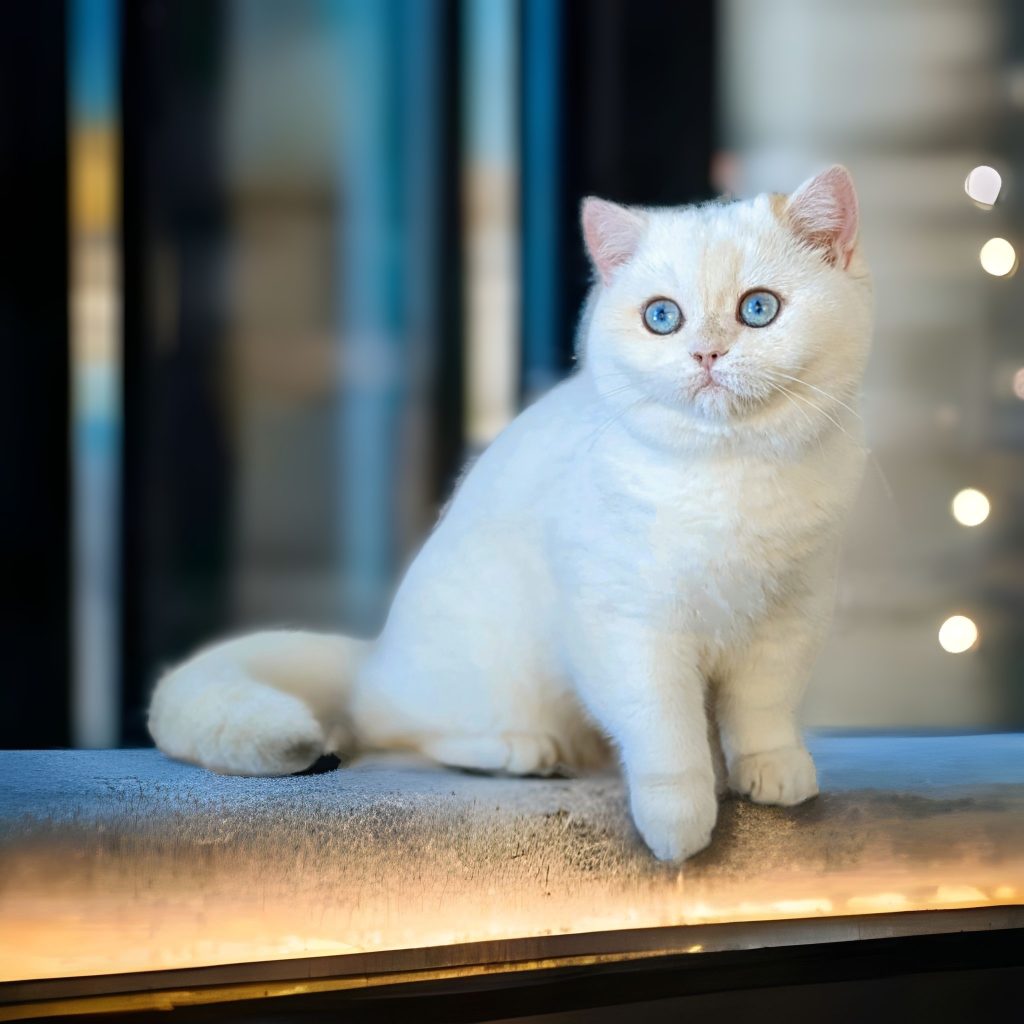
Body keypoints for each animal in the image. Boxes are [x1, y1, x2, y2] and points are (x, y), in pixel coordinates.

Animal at [151, 163, 872, 860]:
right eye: (662, 317)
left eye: (759, 309)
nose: (707, 354)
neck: (730, 476)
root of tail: (376, 653)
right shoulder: (628, 630)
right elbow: (665, 731)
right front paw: (679, 820)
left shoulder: (787, 621)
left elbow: (762, 711)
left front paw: (771, 769)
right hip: (491, 669)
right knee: (402, 731)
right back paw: (520, 751)